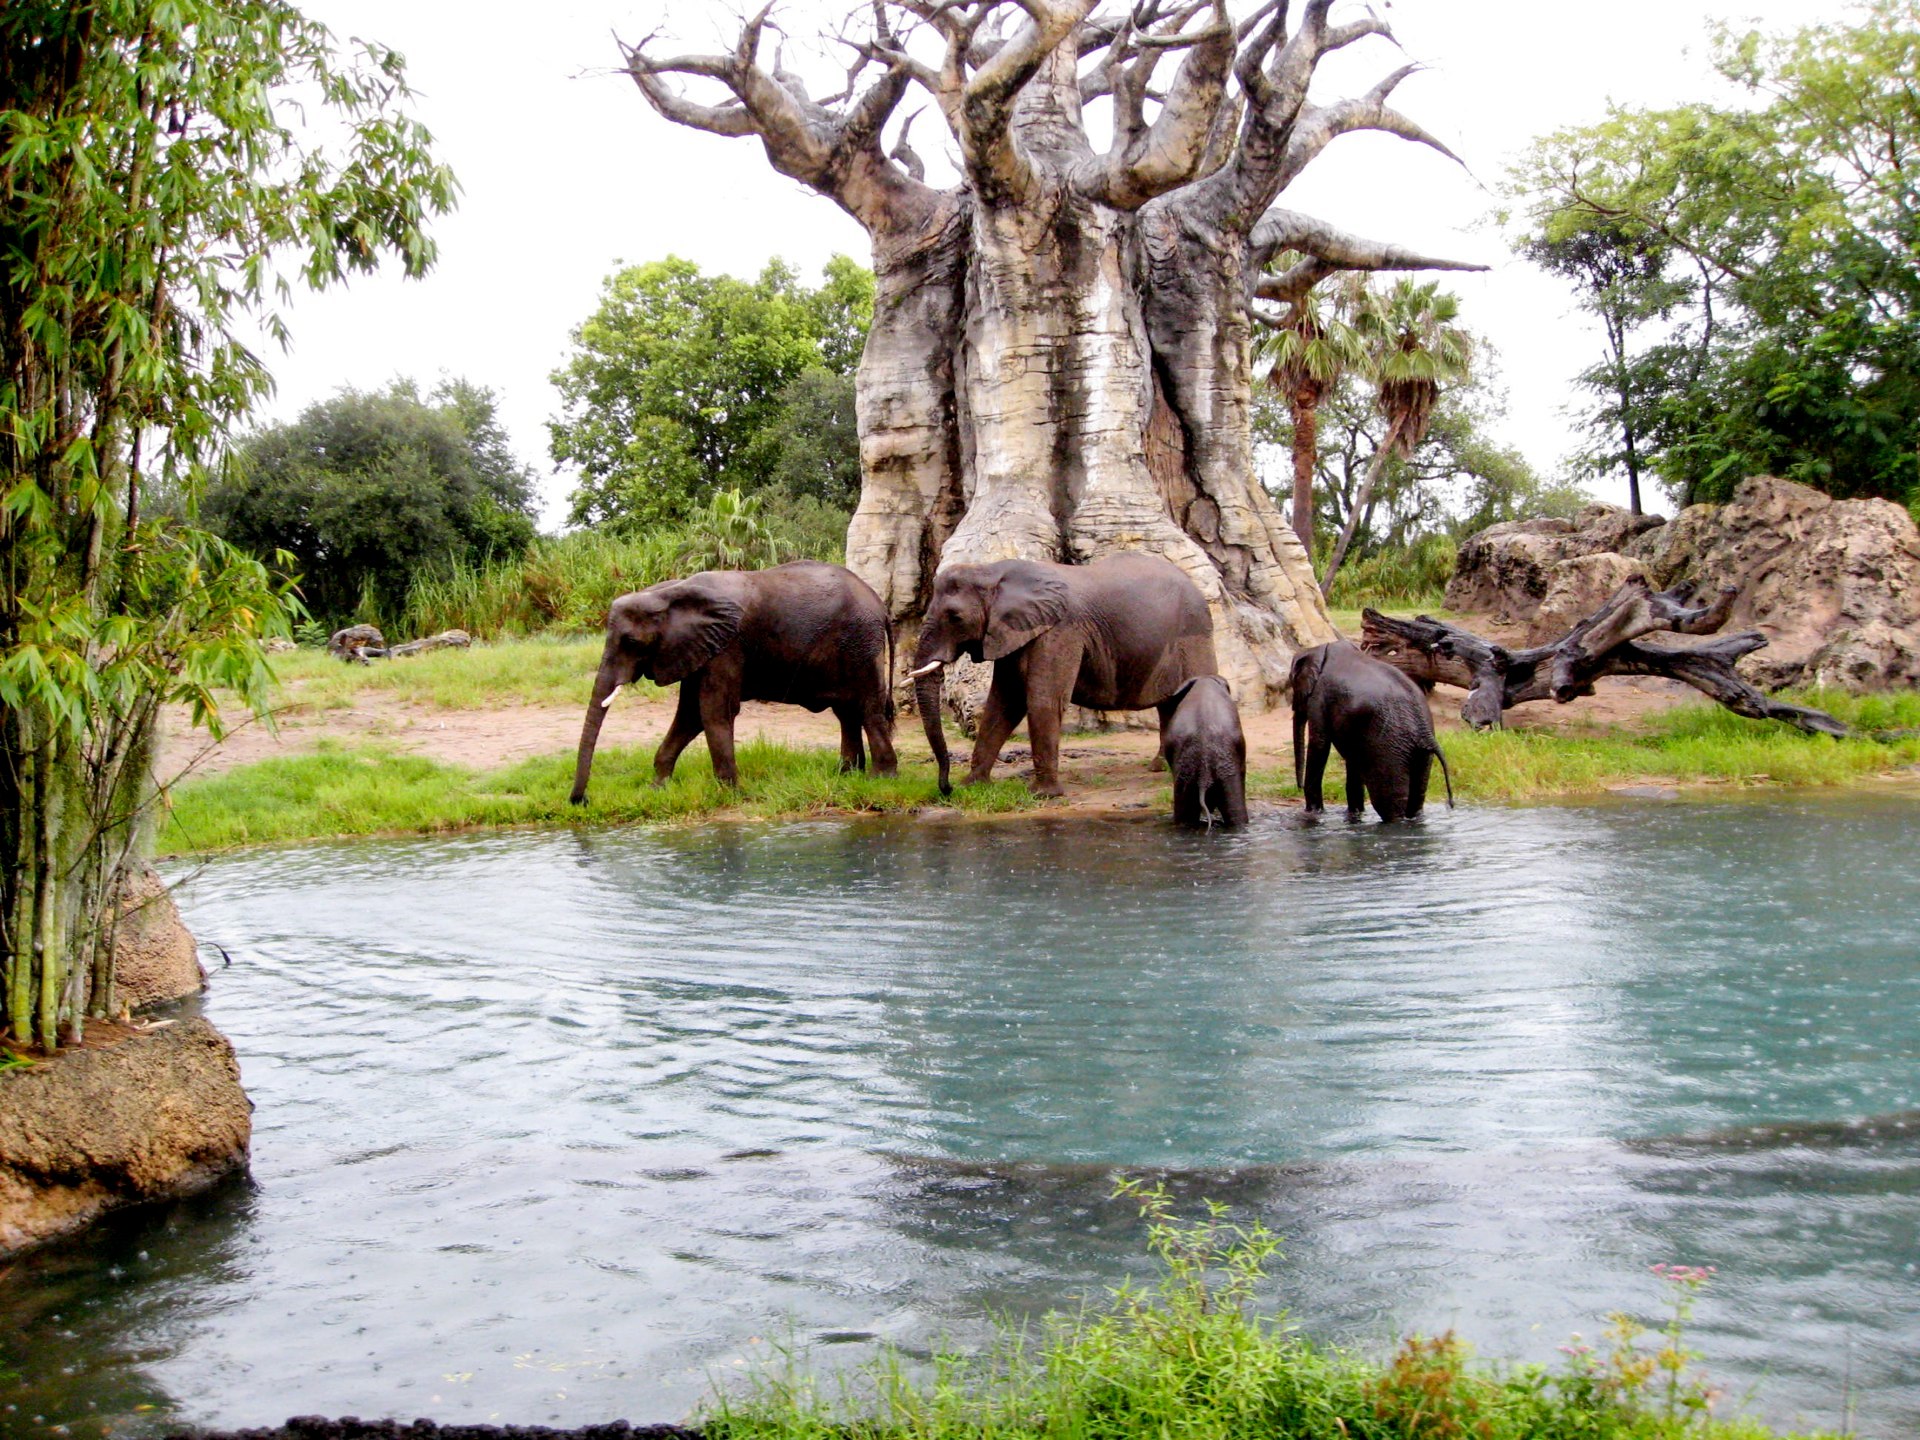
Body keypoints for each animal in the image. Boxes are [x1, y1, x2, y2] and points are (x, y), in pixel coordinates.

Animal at [570, 560, 895, 804]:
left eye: (631, 642)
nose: (581, 800)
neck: (668, 591)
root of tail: (879, 604)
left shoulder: (727, 646)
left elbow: (715, 711)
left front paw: (729, 794)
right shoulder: (700, 647)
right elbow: (690, 714)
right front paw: (657, 789)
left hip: (861, 643)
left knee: (867, 709)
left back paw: (880, 779)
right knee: (847, 712)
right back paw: (847, 775)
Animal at [910, 551, 1217, 797]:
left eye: (955, 617)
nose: (946, 788)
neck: (991, 571)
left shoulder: (1061, 630)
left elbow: (1042, 701)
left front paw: (1043, 795)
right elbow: (1003, 703)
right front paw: (973, 786)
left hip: (1194, 634)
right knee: (1170, 703)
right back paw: (1160, 767)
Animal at [1290, 640, 1453, 821]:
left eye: (1292, 682)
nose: (1298, 787)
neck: (1321, 649)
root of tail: (1425, 733)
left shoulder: (1319, 695)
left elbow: (1319, 744)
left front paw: (1312, 814)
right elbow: (1353, 758)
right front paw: (1355, 816)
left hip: (1389, 749)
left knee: (1388, 802)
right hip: (1419, 753)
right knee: (1417, 797)